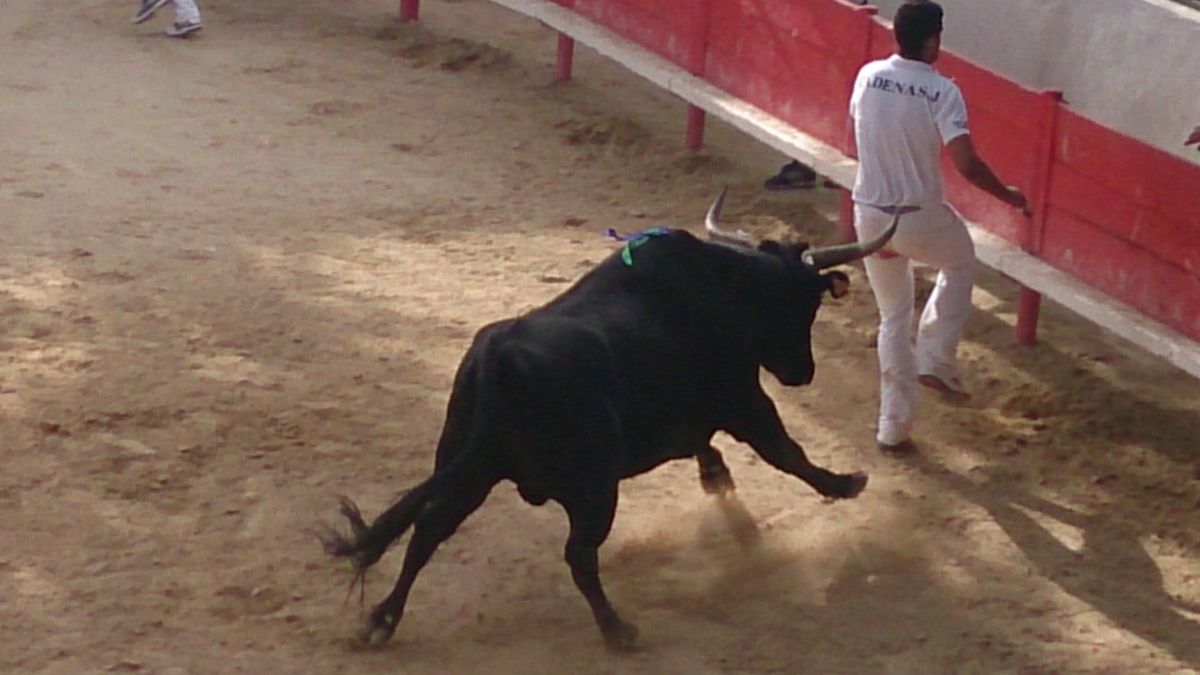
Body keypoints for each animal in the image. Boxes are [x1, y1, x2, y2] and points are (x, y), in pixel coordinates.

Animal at [321, 192, 902, 648]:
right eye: (806, 304)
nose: (803, 373)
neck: (726, 285)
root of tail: (500, 359)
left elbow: (706, 445)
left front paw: (720, 482)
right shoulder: (745, 399)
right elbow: (785, 452)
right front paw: (845, 482)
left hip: (470, 467)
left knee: (428, 530)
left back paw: (381, 621)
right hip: (593, 488)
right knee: (578, 553)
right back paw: (618, 630)